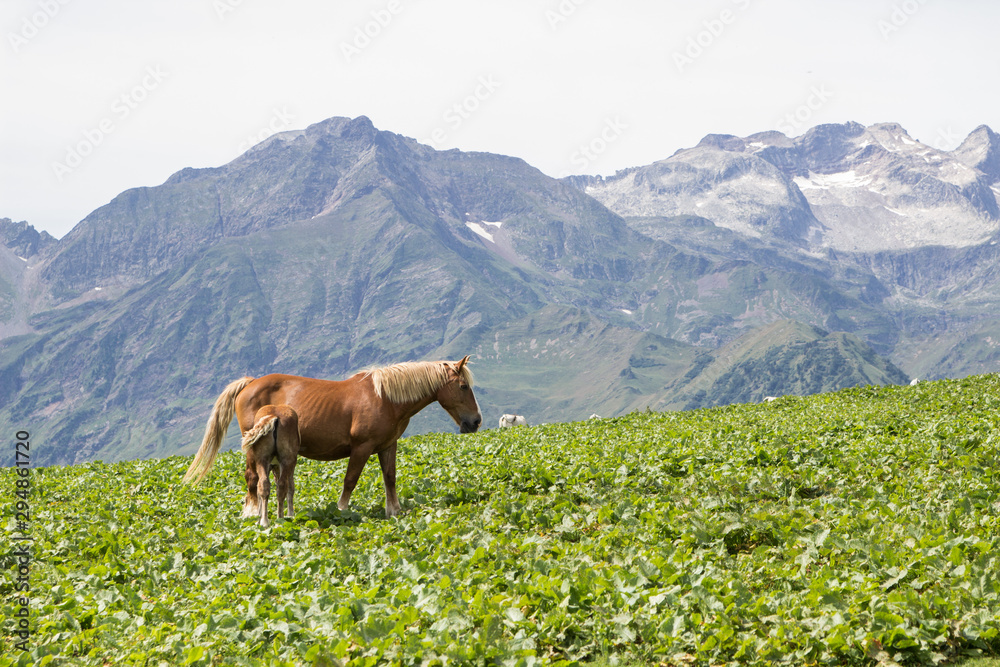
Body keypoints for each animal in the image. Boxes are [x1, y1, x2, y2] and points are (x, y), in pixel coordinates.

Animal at [183, 356, 481, 517]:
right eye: (463, 386)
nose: (476, 421)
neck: (385, 397)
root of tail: (250, 383)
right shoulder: (362, 448)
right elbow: (350, 481)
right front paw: (341, 510)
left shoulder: (388, 446)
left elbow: (390, 478)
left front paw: (394, 511)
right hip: (254, 449)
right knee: (252, 480)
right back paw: (253, 514)